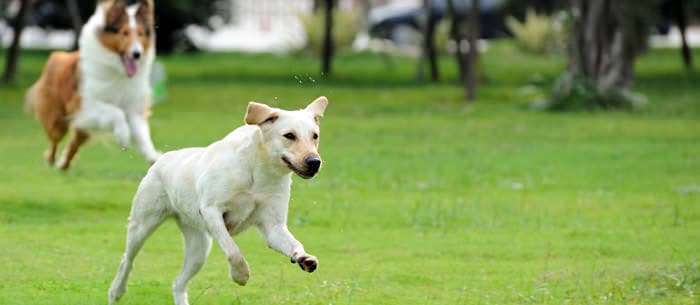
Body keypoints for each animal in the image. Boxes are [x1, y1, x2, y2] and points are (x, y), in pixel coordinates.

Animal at [108, 95, 330, 304]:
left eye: (315, 136)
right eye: (289, 135)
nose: (314, 162)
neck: (259, 171)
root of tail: (161, 159)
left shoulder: (274, 227)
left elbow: (294, 243)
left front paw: (303, 258)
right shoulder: (211, 211)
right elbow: (233, 251)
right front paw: (240, 275)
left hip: (199, 249)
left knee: (178, 283)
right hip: (142, 226)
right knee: (127, 260)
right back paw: (116, 292)